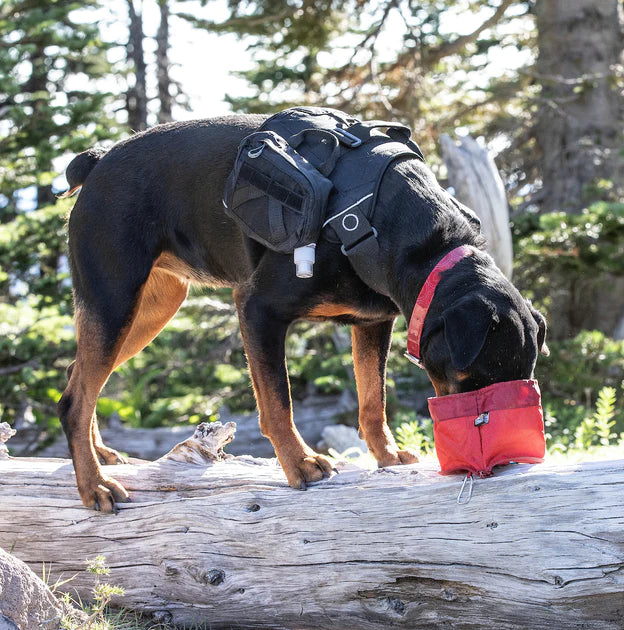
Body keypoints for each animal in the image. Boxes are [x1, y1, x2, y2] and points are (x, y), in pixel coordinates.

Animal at [58, 116, 544, 512]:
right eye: (472, 381)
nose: (498, 461)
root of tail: (97, 162)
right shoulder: (258, 309)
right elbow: (278, 402)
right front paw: (301, 463)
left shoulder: (373, 322)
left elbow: (373, 401)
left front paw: (387, 457)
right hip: (115, 299)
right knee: (73, 401)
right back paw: (94, 486)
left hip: (152, 307)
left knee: (78, 376)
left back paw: (101, 455)